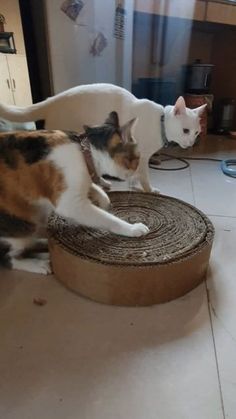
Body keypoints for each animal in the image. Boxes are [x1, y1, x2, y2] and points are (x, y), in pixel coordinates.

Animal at [0, 83, 206, 194]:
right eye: (186, 131)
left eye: (196, 133)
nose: (190, 143)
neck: (160, 122)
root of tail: (52, 99)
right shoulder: (141, 155)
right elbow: (144, 176)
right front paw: (149, 189)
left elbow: (137, 174)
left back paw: (104, 183)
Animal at [0, 111, 148, 276]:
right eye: (137, 159)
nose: (138, 171)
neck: (84, 152)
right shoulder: (70, 203)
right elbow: (109, 219)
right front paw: (132, 228)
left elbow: (96, 189)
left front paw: (104, 202)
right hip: (21, 227)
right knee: (8, 258)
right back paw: (39, 264)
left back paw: (42, 242)